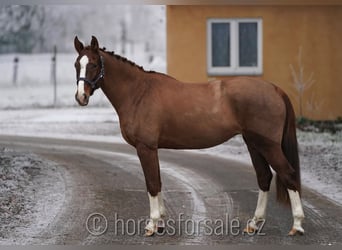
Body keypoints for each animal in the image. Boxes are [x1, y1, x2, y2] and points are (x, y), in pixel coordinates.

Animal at [73, 36, 304, 236]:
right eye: (77, 64)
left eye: (93, 64)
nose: (81, 97)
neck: (139, 92)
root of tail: (275, 89)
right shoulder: (152, 149)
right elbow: (158, 181)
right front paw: (161, 223)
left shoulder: (145, 148)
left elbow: (152, 183)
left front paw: (152, 225)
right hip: (253, 143)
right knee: (264, 177)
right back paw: (254, 224)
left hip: (268, 145)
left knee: (288, 174)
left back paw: (297, 225)